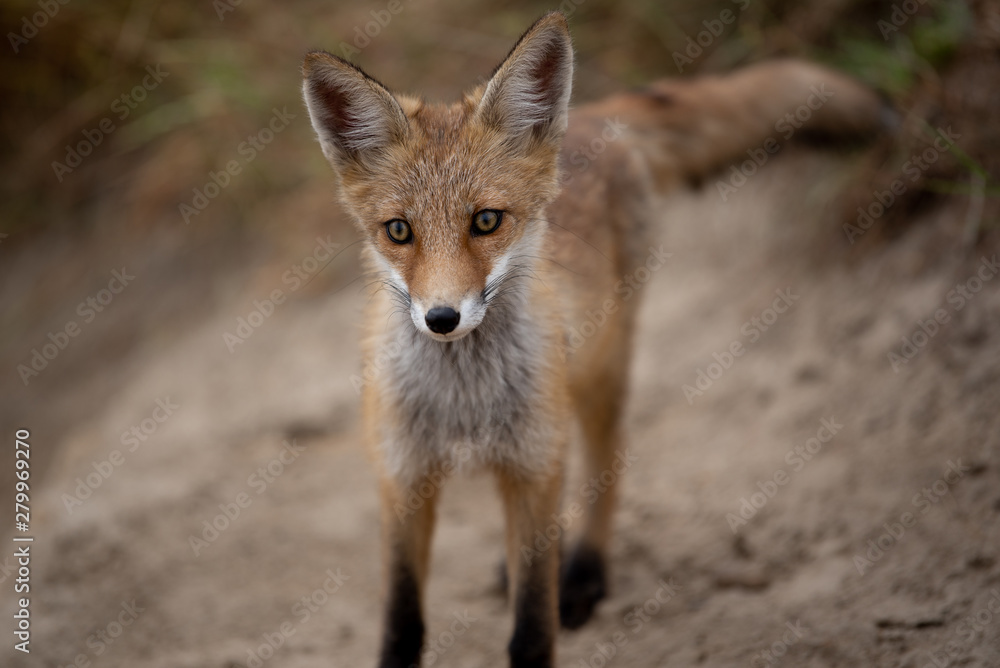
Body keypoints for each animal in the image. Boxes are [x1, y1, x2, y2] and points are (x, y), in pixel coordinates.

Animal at [301, 11, 887, 668]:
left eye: (486, 221)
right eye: (398, 231)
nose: (442, 318)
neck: (464, 403)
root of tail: (592, 113)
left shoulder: (532, 462)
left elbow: (534, 626)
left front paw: (554, 595)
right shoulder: (403, 475)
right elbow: (401, 624)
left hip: (598, 371)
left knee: (606, 463)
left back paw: (584, 570)